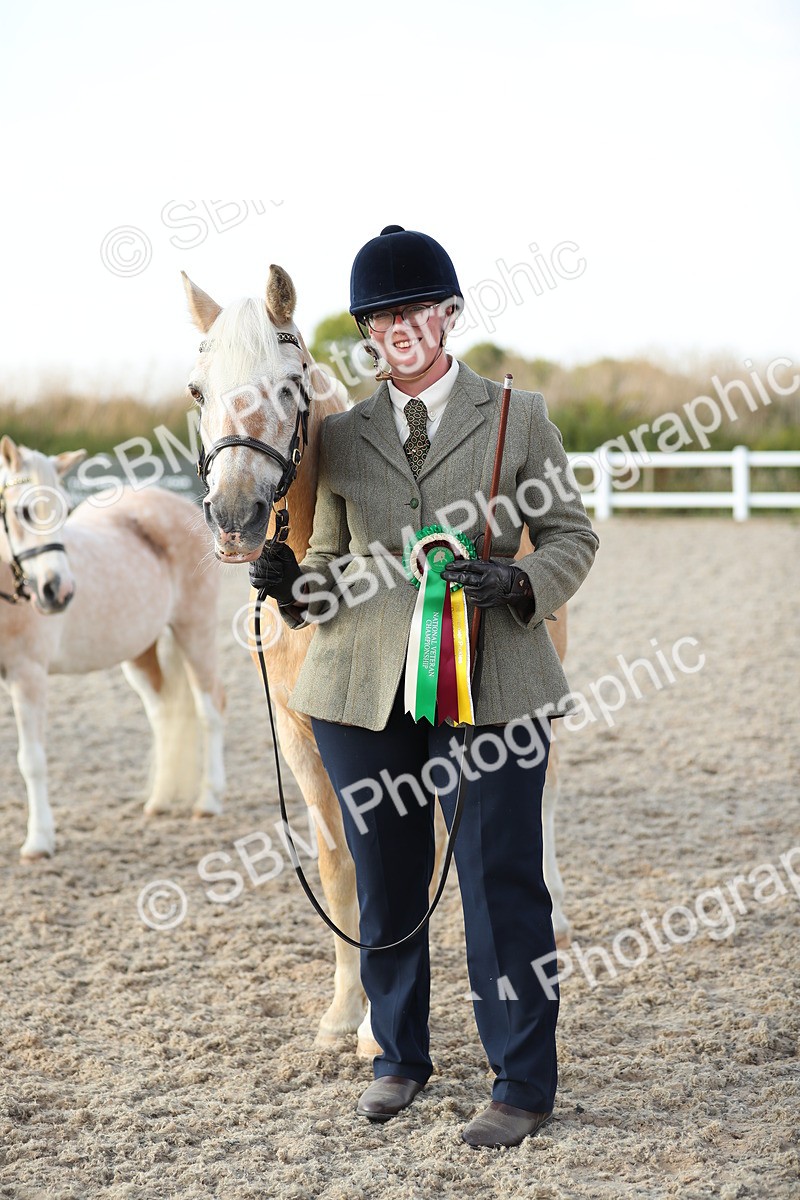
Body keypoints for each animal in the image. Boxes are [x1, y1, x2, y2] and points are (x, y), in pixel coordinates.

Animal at [0, 436, 226, 860]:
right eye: (22, 510)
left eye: (63, 508)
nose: (58, 591)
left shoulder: (28, 676)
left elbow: (31, 761)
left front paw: (39, 841)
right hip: (140, 654)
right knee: (163, 715)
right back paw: (159, 802)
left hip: (197, 633)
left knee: (211, 709)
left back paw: (209, 802)